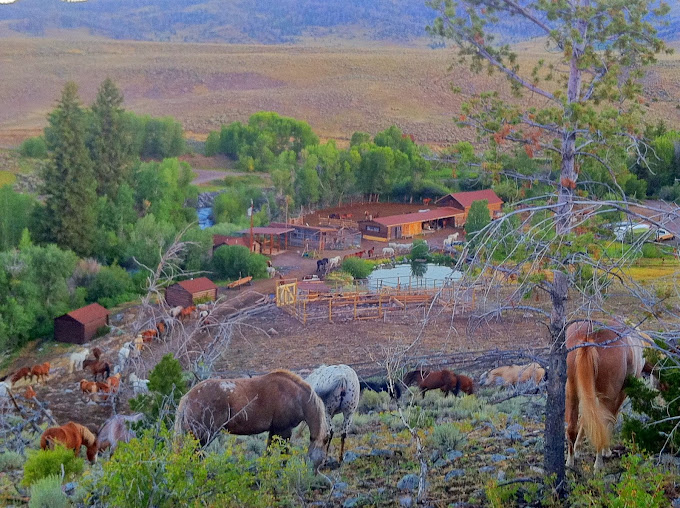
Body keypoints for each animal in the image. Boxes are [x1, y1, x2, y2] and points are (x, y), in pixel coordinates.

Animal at [174, 370, 329, 470]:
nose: (315, 471)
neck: (297, 396)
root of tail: (188, 397)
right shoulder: (284, 430)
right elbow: (284, 453)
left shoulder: (274, 430)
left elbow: (268, 451)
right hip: (203, 435)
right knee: (195, 454)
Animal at [565, 320, 650, 471]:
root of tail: (588, 337)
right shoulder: (621, 393)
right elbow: (610, 419)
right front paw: (606, 451)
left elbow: (586, 420)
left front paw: (578, 449)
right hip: (608, 395)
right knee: (602, 426)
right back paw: (598, 464)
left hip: (572, 391)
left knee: (571, 427)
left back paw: (570, 462)